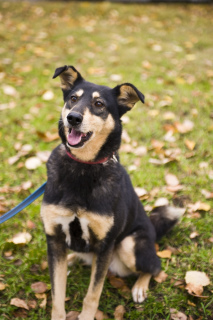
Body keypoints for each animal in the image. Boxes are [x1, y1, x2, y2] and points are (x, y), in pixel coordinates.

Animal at [40, 65, 183, 320]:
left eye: (99, 104)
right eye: (73, 98)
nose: (72, 118)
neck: (83, 167)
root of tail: (153, 230)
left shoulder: (105, 244)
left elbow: (92, 295)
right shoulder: (54, 238)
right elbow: (57, 295)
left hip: (128, 245)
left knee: (155, 266)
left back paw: (139, 287)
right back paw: (72, 259)